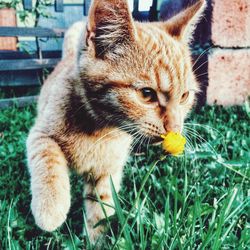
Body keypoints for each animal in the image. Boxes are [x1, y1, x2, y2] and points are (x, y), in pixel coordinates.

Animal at [26, 0, 206, 243]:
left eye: (185, 96)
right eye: (147, 94)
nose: (175, 129)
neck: (97, 130)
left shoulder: (107, 173)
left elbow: (100, 208)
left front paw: (95, 241)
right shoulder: (39, 134)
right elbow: (47, 155)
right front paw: (50, 207)